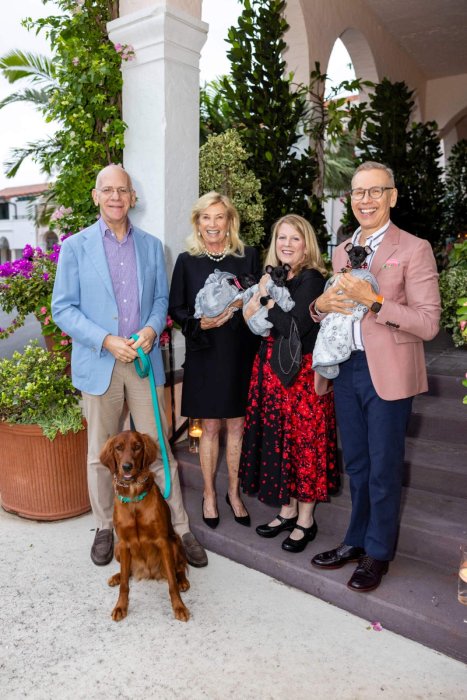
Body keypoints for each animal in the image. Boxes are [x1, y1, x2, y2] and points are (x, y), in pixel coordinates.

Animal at [100, 430, 190, 620]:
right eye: (118, 448)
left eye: (137, 447)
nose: (127, 466)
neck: (134, 497)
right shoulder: (124, 544)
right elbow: (125, 584)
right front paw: (120, 606)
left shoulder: (163, 541)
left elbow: (172, 582)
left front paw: (179, 606)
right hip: (117, 548)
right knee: (127, 572)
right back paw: (116, 576)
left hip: (175, 542)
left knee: (179, 568)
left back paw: (183, 581)